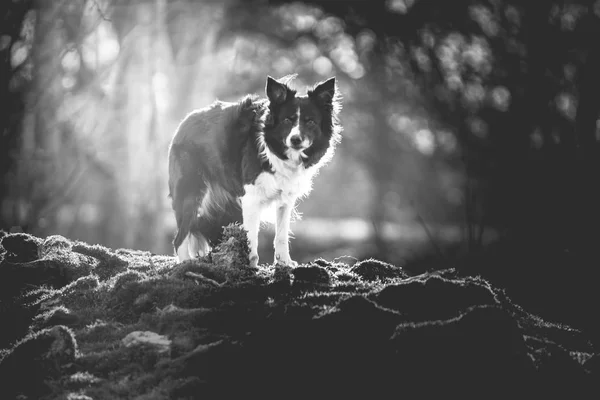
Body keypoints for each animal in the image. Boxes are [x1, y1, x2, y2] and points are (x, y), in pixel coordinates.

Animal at [168, 75, 342, 268]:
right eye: (287, 120)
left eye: (310, 121)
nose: (295, 140)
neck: (277, 153)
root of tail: (183, 123)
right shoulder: (251, 198)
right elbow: (251, 236)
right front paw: (250, 265)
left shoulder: (285, 199)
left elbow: (281, 235)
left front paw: (284, 262)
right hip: (191, 192)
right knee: (179, 237)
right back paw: (186, 263)